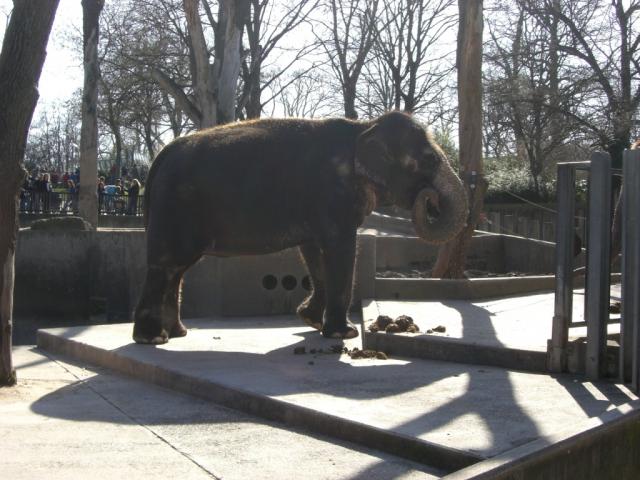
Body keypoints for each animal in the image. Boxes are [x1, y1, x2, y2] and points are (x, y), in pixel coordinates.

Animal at [131, 111, 470, 344]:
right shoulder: (334, 195)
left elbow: (313, 252)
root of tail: (159, 158)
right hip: (176, 208)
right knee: (166, 265)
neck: (363, 127)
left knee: (176, 270)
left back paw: (178, 333)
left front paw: (311, 321)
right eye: (429, 159)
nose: (429, 198)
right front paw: (343, 334)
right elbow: (341, 248)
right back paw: (153, 338)